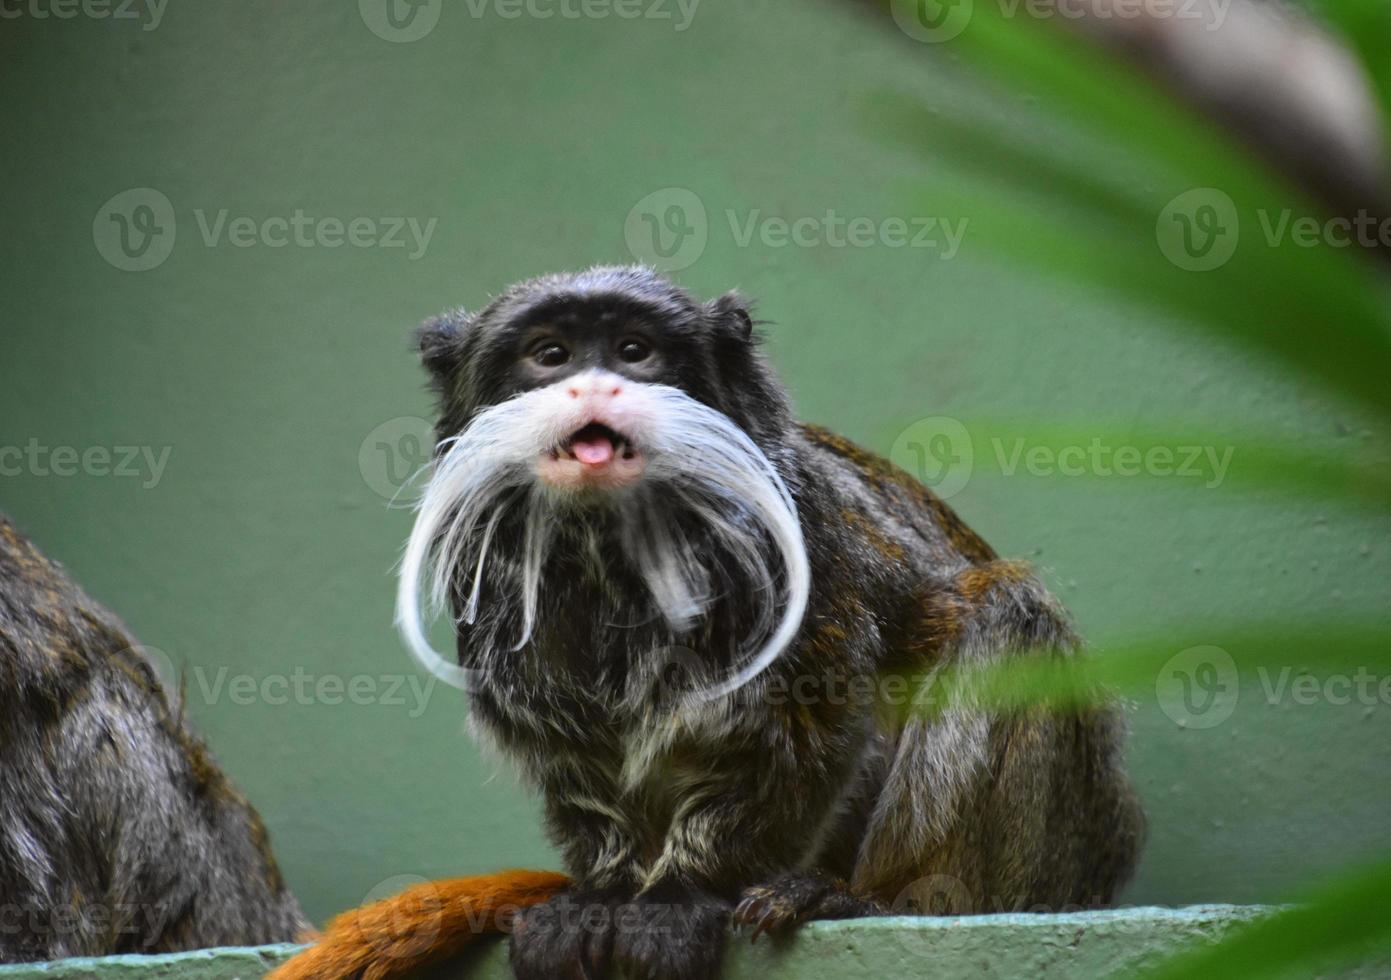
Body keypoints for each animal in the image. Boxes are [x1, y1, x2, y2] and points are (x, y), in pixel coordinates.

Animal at [397, 264, 1146, 973]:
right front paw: (603, 894)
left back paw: (876, 901)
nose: (594, 387)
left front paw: (682, 895)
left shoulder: (799, 544)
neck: (612, 551)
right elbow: (575, 756)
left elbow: (796, 733)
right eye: (550, 355)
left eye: (633, 351)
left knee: (1010, 618)